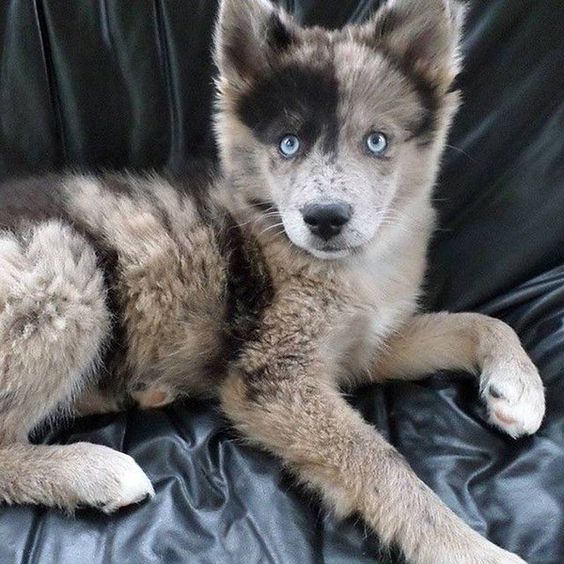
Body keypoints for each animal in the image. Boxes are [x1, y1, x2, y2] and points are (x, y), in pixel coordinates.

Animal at [0, 1, 548, 564]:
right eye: (288, 144)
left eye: (377, 142)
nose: (324, 218)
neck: (346, 265)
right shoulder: (274, 374)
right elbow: (377, 458)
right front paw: (469, 548)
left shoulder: (367, 349)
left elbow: (475, 320)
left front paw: (518, 385)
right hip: (65, 275)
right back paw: (94, 472)